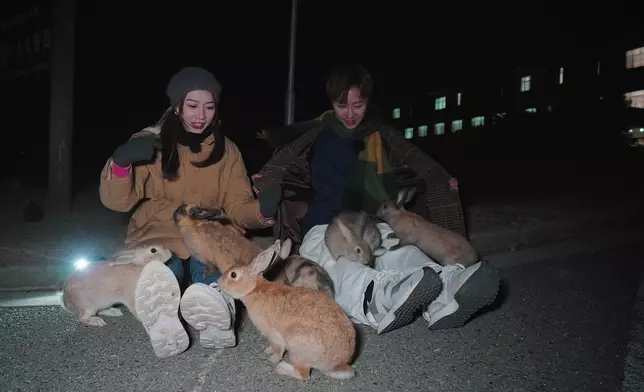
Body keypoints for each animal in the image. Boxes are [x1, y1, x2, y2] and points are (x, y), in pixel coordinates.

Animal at [216, 237, 358, 382]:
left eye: (233, 275)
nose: (218, 282)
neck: (253, 289)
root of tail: (337, 364)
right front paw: (267, 350)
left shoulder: (273, 334)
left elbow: (278, 349)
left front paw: (272, 359)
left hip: (298, 349)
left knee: (304, 375)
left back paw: (282, 368)